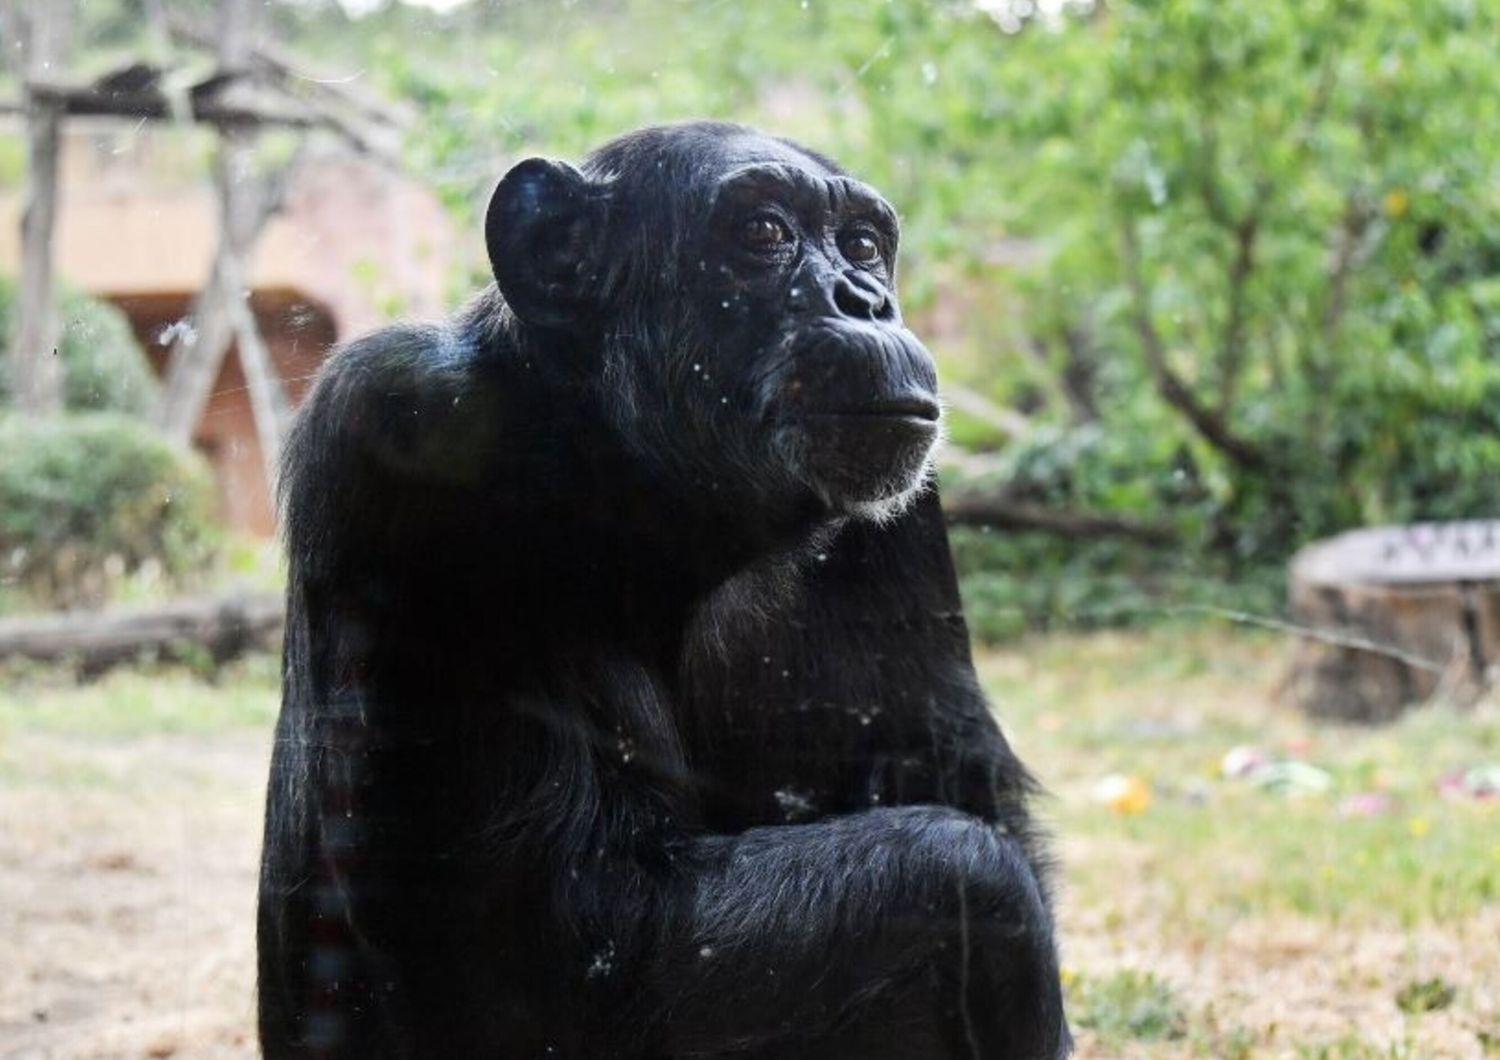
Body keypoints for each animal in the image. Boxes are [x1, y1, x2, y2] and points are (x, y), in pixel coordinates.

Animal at [258, 119, 1068, 1055]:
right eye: (763, 233)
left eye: (863, 245)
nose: (862, 298)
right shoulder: (394, 422)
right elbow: (570, 938)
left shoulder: (911, 505)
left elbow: (961, 779)